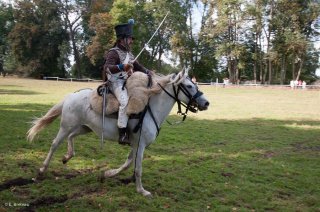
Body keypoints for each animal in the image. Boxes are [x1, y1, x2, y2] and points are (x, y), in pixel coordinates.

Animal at [27, 70, 210, 197]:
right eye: (189, 86)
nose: (206, 103)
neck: (151, 109)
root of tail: (70, 96)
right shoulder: (141, 145)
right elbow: (137, 168)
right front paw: (142, 191)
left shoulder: (136, 145)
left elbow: (128, 163)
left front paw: (108, 174)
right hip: (66, 126)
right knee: (54, 144)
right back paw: (41, 171)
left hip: (84, 127)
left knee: (71, 138)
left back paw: (67, 157)